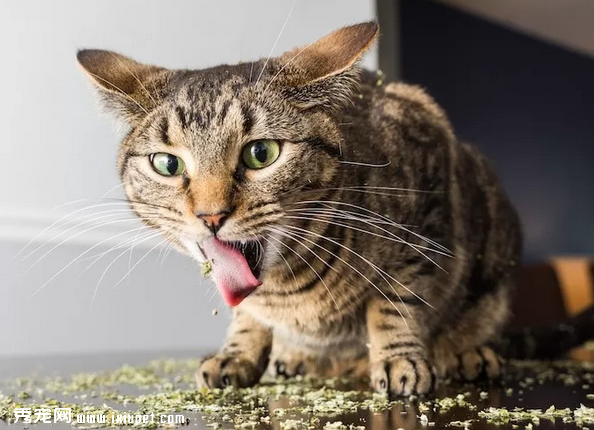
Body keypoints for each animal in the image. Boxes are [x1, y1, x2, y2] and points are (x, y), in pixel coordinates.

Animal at [76, 21, 588, 396]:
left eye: (260, 154)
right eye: (167, 164)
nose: (211, 216)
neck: (288, 293)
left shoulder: (425, 221)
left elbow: (395, 304)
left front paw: (400, 359)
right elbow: (247, 318)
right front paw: (237, 354)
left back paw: (464, 352)